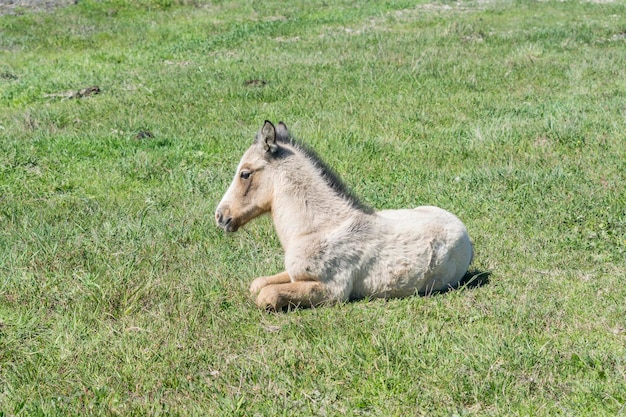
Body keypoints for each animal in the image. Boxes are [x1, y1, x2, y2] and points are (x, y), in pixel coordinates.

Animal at [216, 120, 472, 308]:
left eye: (245, 173)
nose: (220, 216)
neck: (318, 228)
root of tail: (466, 235)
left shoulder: (332, 290)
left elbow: (266, 295)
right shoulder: (295, 275)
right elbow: (258, 284)